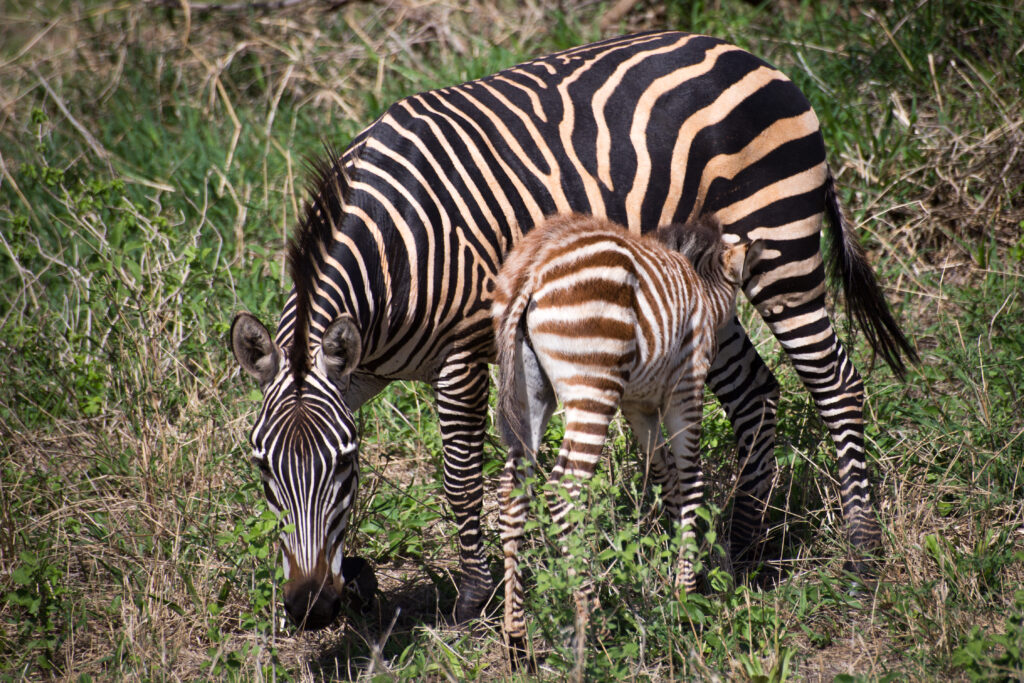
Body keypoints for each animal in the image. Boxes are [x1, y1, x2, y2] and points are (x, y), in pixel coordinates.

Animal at [493, 213, 756, 649]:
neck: (700, 289)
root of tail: (534, 265)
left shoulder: (639, 404)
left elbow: (666, 475)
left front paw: (680, 564)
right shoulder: (687, 386)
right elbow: (691, 477)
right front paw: (686, 596)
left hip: (527, 390)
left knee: (513, 491)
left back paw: (515, 634)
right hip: (593, 384)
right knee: (564, 490)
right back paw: (594, 620)